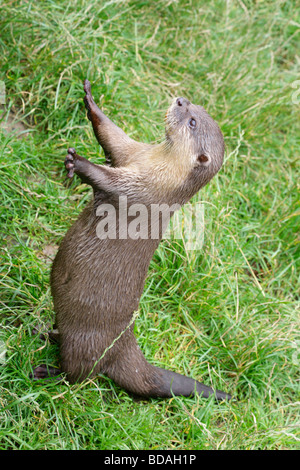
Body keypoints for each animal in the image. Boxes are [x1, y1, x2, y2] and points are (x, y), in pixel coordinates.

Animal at [32, 80, 231, 400]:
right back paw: (46, 332)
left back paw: (48, 372)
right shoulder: (131, 154)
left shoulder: (137, 190)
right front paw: (90, 100)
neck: (157, 170)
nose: (180, 100)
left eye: (192, 122)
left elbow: (108, 181)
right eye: (194, 107)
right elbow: (113, 137)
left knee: (79, 375)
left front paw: (80, 163)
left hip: (85, 340)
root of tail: (125, 346)